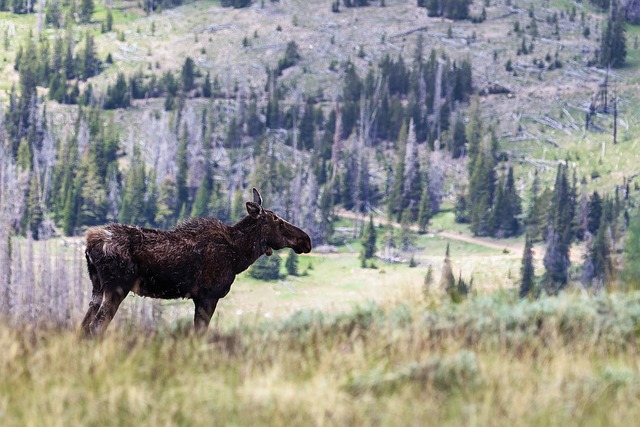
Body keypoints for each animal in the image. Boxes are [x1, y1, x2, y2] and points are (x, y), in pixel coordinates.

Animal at [81, 188, 312, 338]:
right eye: (277, 221)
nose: (306, 240)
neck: (239, 256)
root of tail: (90, 244)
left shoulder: (200, 298)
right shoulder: (208, 295)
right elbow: (199, 333)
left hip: (97, 288)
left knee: (84, 325)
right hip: (117, 287)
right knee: (96, 326)